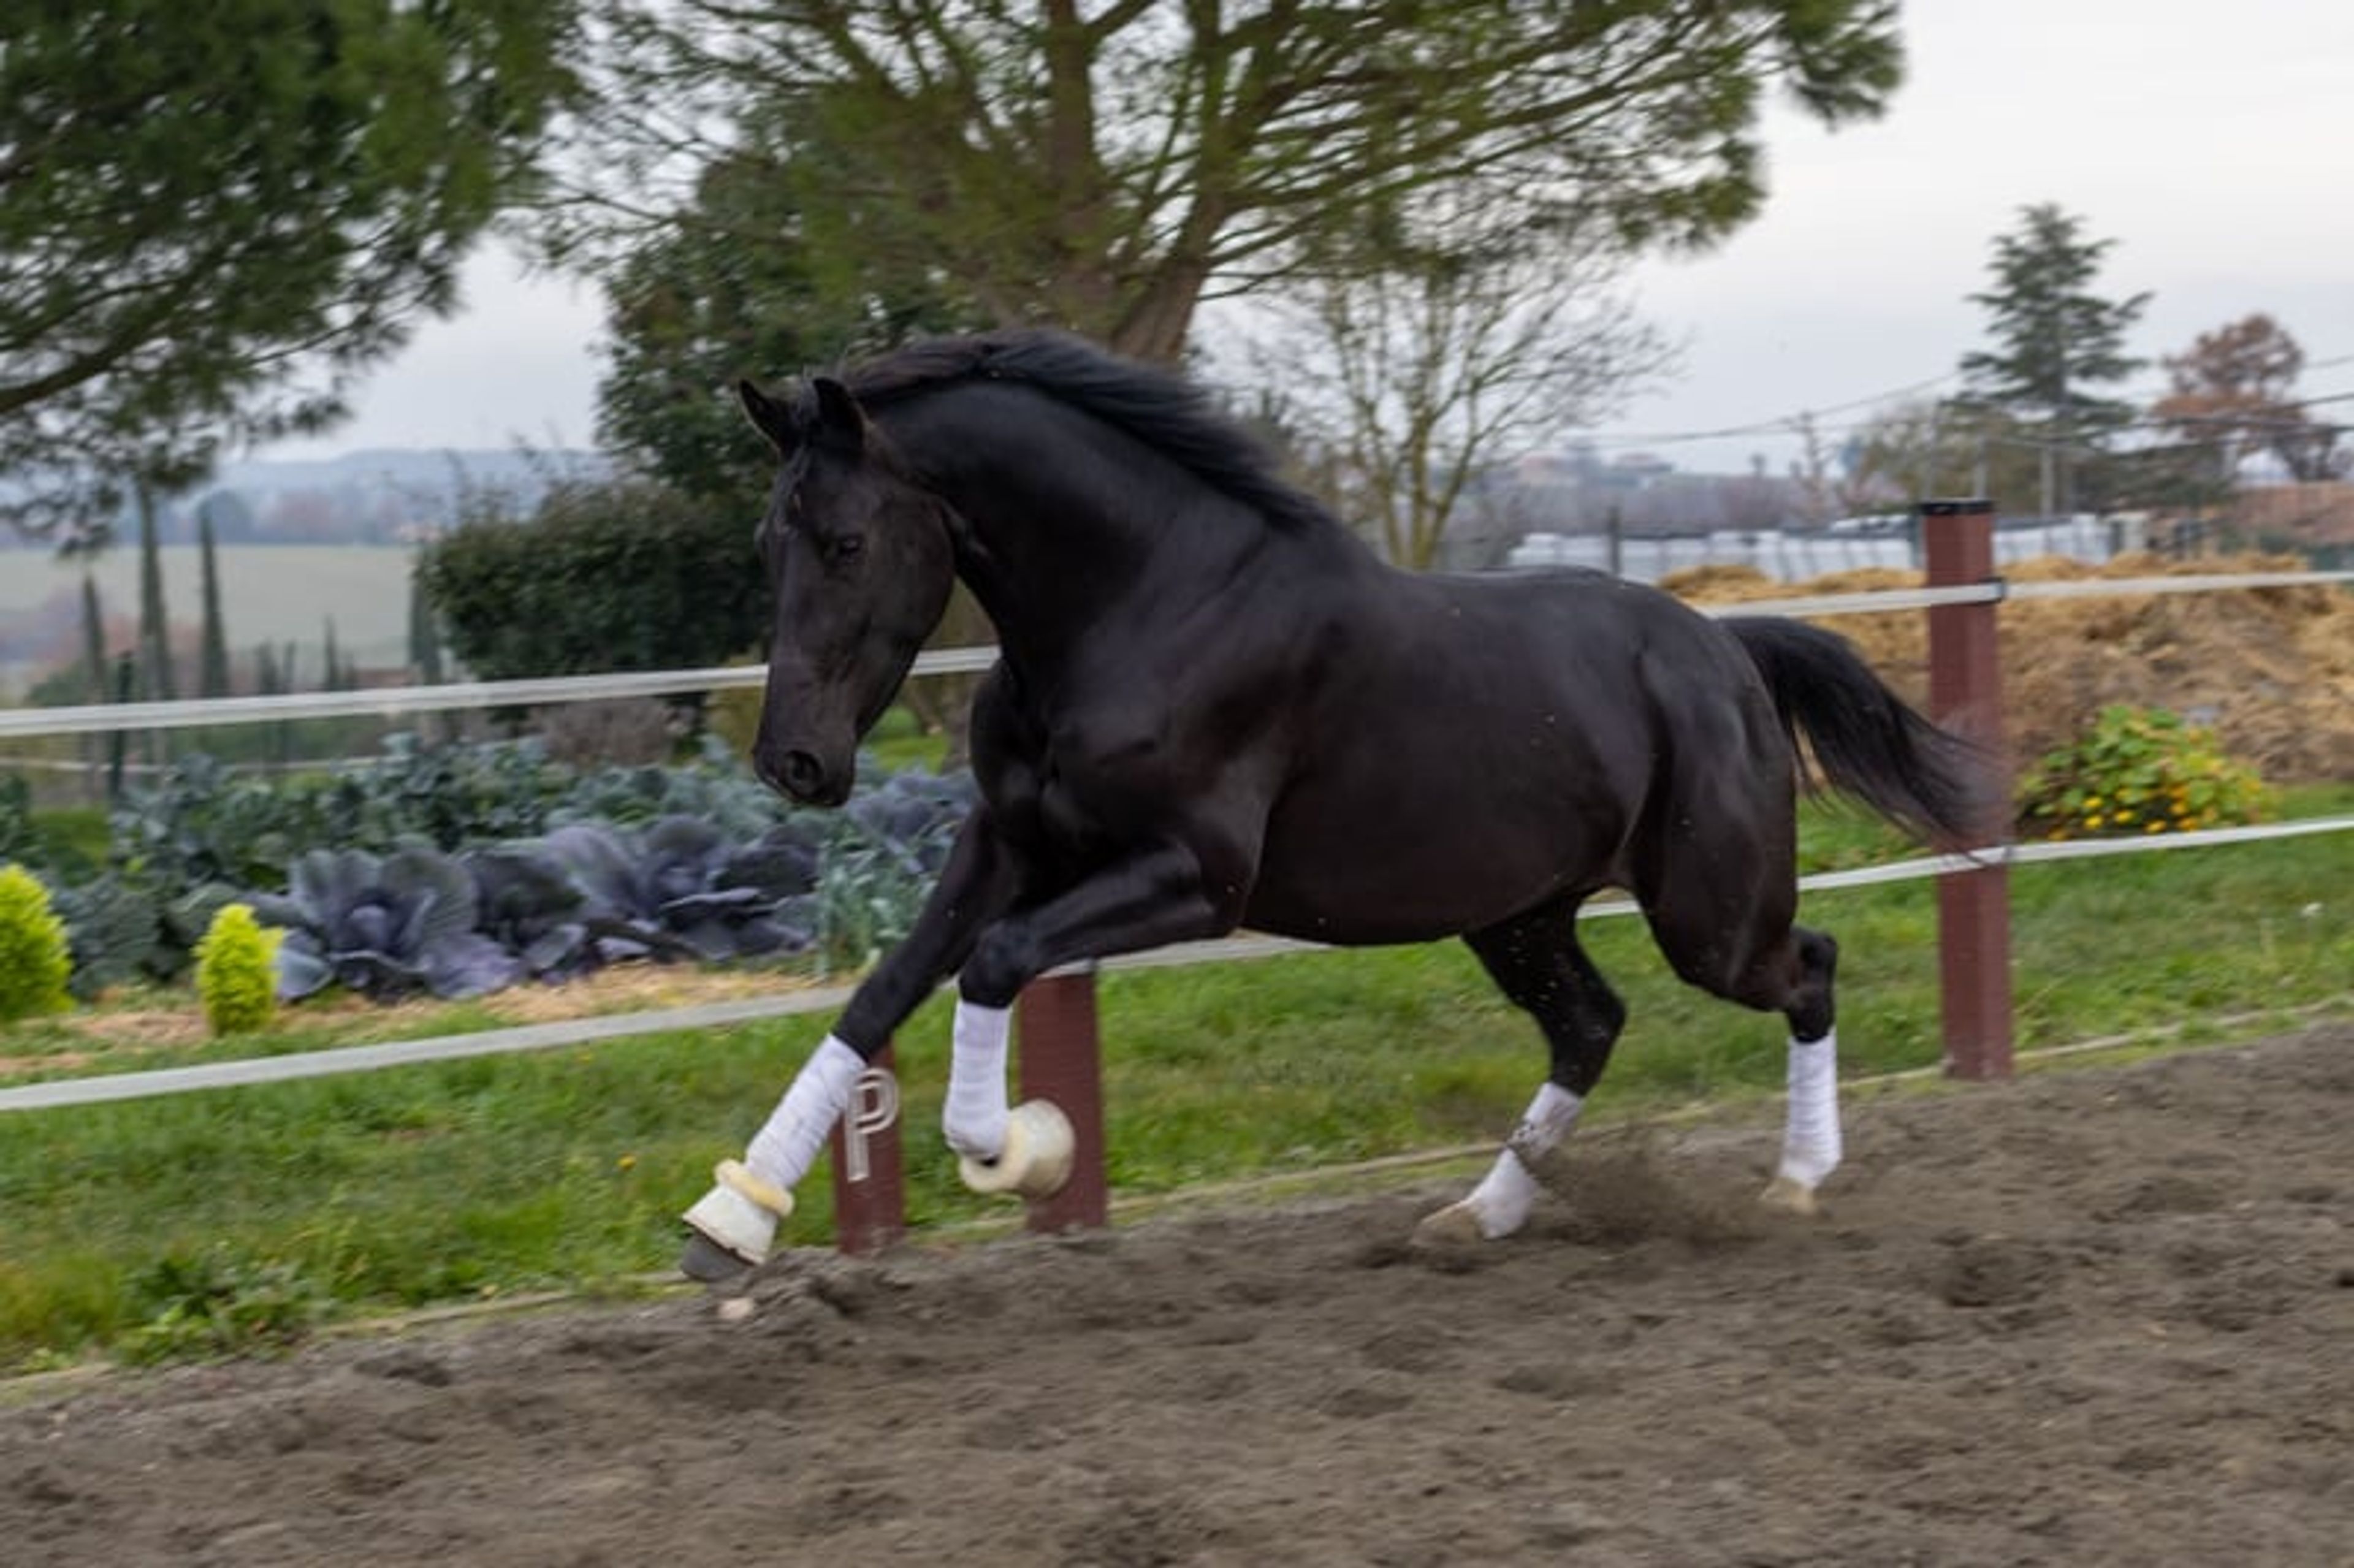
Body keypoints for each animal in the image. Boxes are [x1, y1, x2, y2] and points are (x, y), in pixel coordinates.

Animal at [679, 329, 1993, 1281]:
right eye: (767, 540)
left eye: (847, 540)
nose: (792, 763)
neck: (1143, 605)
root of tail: (1726, 649)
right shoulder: (1010, 844)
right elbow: (883, 991)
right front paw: (728, 1223)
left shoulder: (1194, 878)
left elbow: (997, 964)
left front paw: (1020, 1151)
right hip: (1519, 914)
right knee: (1591, 1024)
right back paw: (1476, 1214)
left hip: (1707, 916)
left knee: (1809, 967)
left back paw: (1799, 1180)